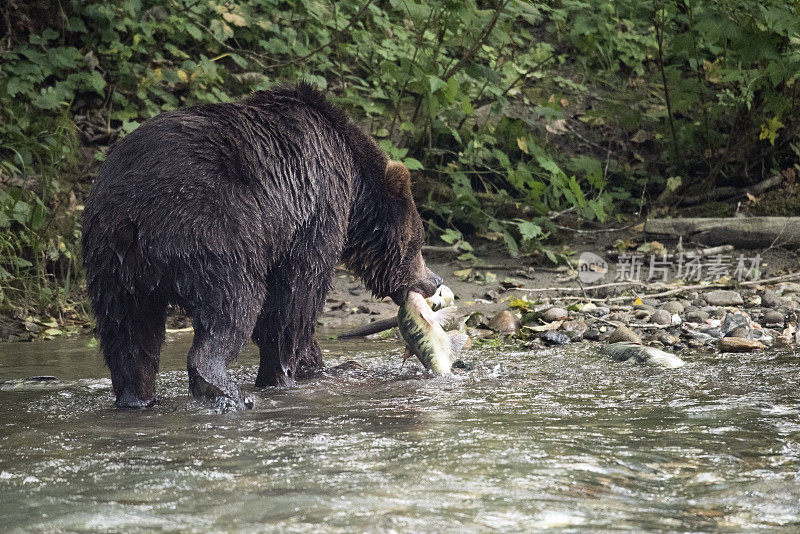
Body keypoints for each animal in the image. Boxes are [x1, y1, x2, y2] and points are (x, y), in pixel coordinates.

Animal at [84, 84, 440, 410]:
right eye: (418, 243)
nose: (434, 281)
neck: (353, 181)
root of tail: (134, 211)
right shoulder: (313, 209)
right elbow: (296, 297)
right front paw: (288, 373)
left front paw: (318, 365)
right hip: (213, 230)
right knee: (234, 304)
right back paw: (226, 390)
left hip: (113, 264)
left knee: (128, 333)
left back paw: (136, 397)